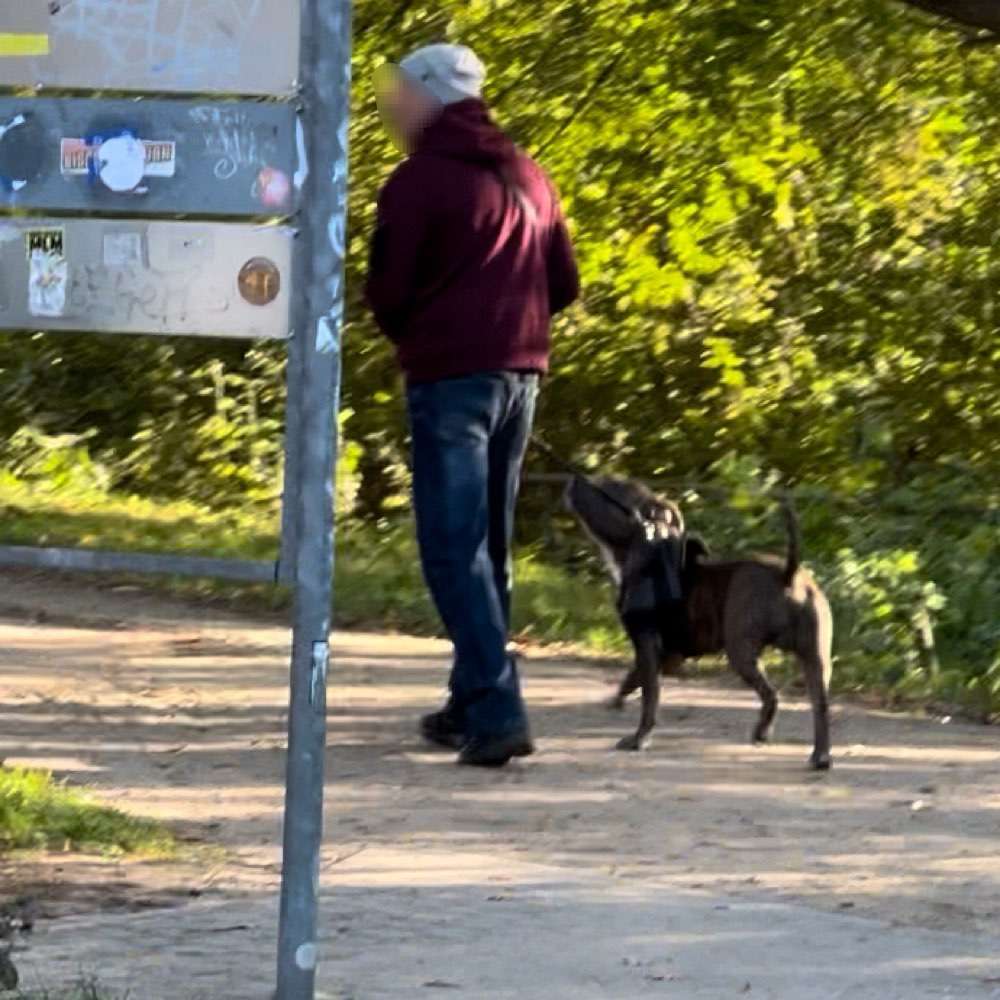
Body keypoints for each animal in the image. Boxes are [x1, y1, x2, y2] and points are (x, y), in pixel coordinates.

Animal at [568, 472, 832, 768]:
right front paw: (617, 701)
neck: (647, 546)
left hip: (741, 649)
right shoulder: (668, 655)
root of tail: (788, 575)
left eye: (610, 486)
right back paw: (820, 757)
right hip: (816, 656)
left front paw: (638, 739)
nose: (576, 477)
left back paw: (762, 733)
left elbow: (650, 697)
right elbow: (632, 679)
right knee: (821, 705)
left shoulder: (646, 644)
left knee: (771, 694)